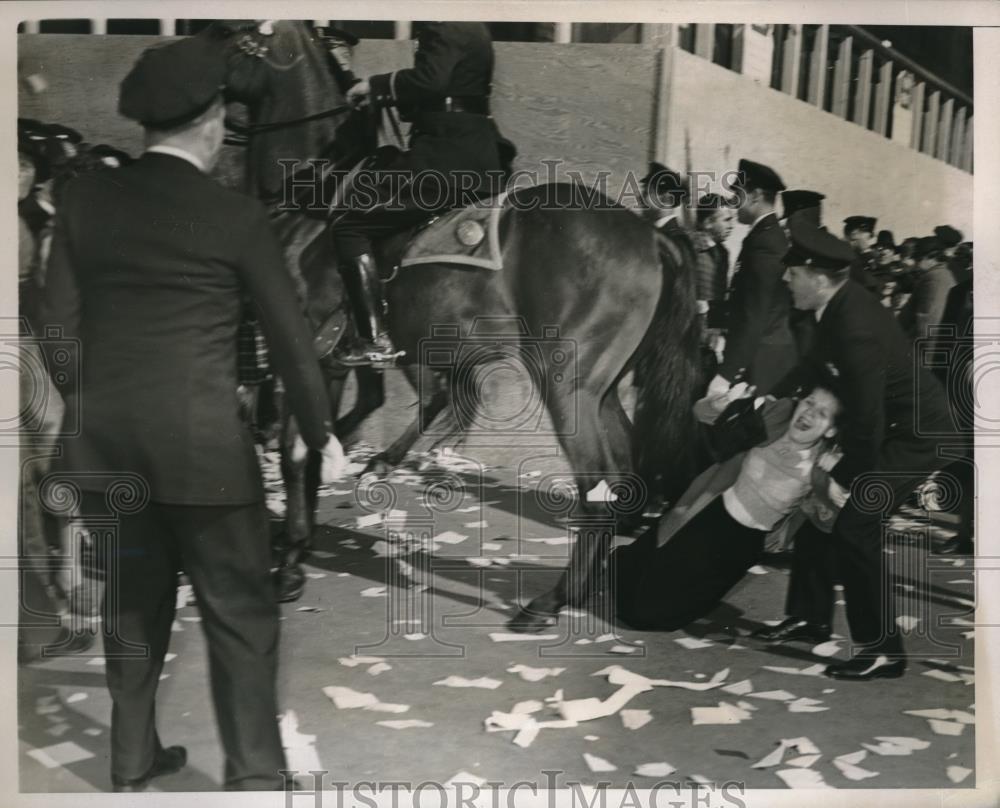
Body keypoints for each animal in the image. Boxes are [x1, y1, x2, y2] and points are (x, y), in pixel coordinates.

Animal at [217, 22, 704, 624]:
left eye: (226, 37)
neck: (312, 196)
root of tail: (648, 233)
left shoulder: (300, 352)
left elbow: (295, 453)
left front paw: (288, 561)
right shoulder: (326, 363)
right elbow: (309, 449)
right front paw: (295, 544)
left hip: (564, 384)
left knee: (595, 489)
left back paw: (549, 601)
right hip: (600, 388)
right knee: (619, 481)